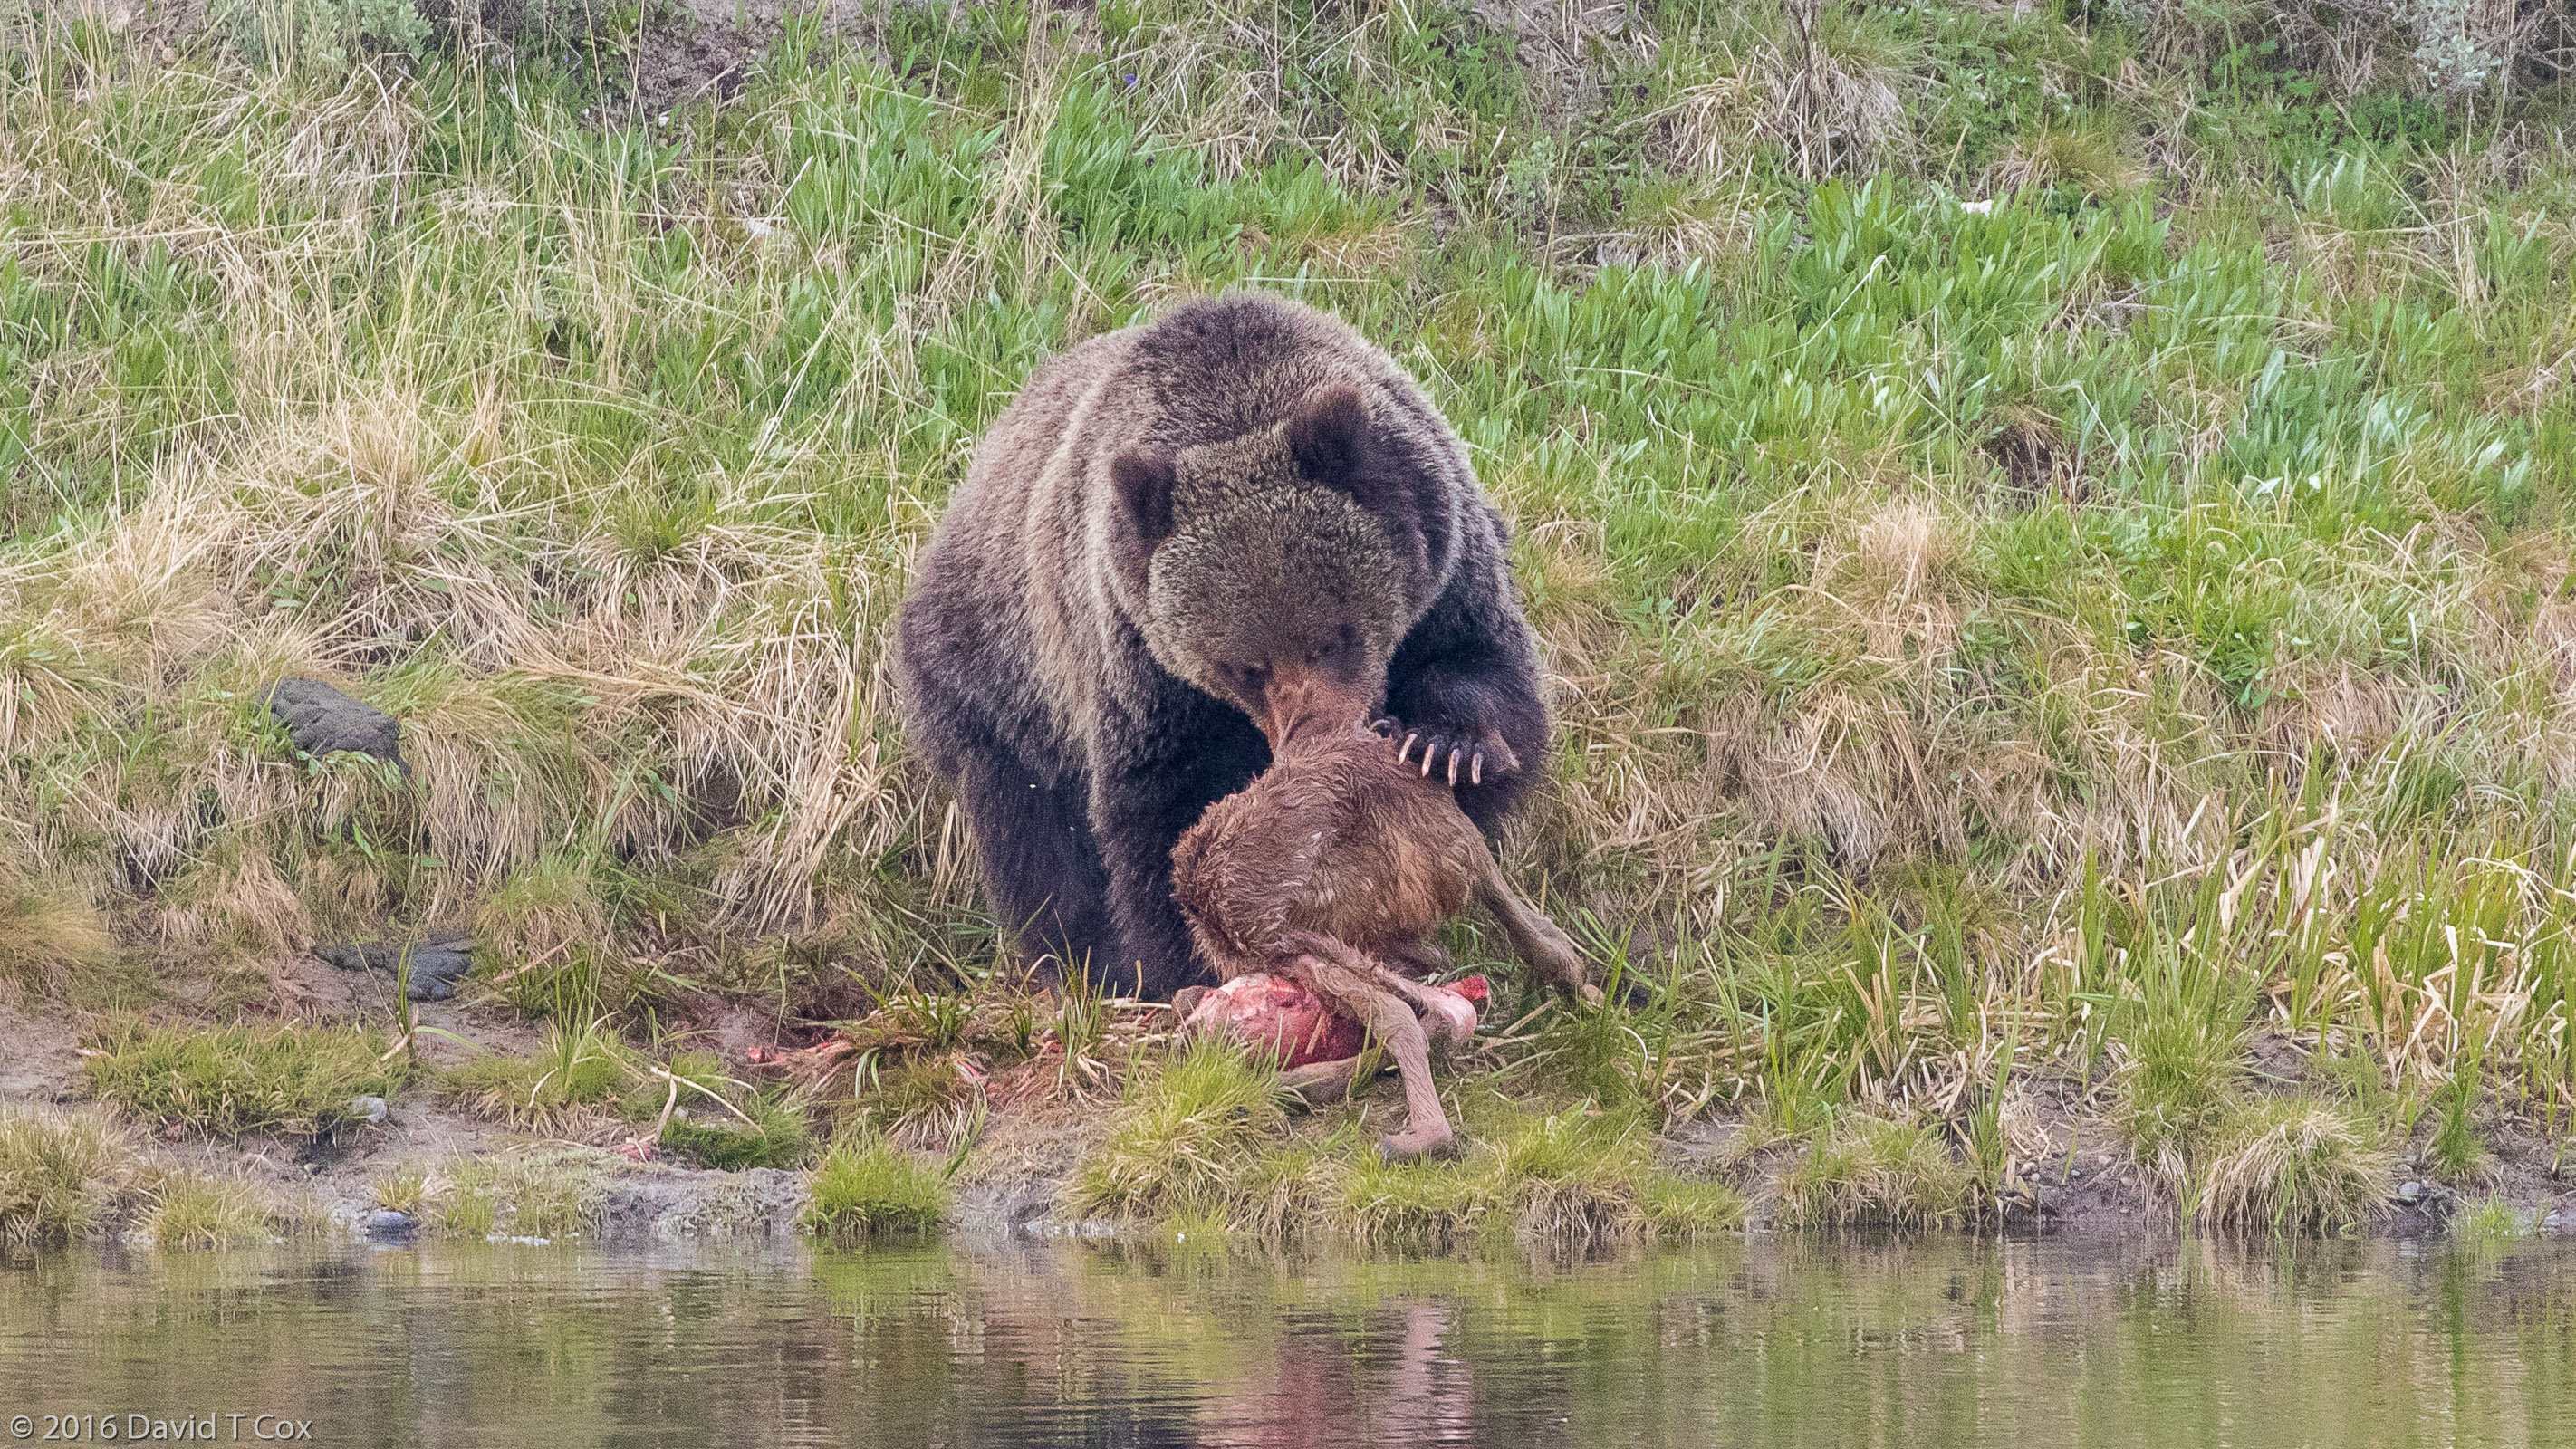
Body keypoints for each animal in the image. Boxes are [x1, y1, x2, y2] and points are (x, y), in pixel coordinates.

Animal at [895, 291, 1547, 999]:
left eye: (1334, 637)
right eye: (1242, 667)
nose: (1309, 731)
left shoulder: (1446, 562)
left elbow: (1486, 669)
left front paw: (1444, 745)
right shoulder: (1141, 668)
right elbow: (1163, 812)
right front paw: (1190, 958)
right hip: (999, 683)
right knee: (1035, 837)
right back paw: (1083, 960)